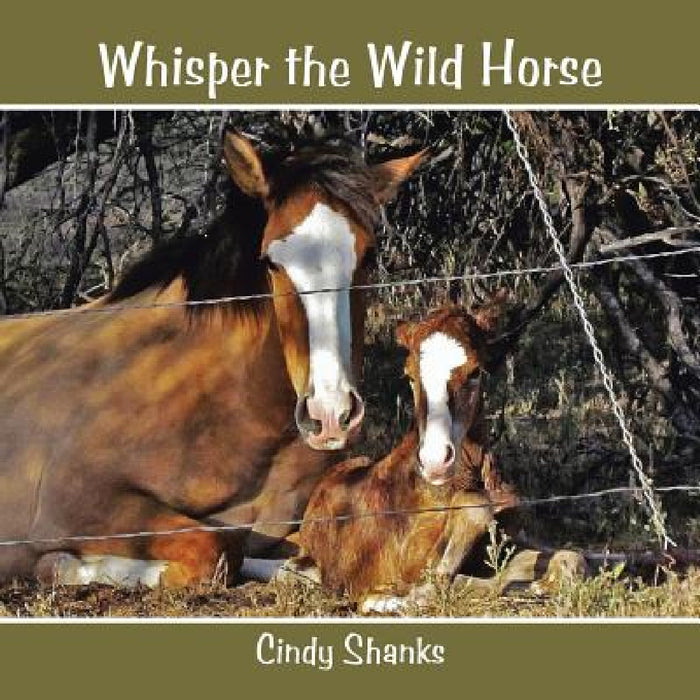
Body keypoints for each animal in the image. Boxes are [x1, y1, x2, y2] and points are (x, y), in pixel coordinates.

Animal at [0, 128, 426, 587]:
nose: (330, 415)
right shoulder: (77, 503)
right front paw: (64, 565)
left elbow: (304, 562)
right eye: (271, 262)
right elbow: (216, 551)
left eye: (369, 256)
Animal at [282, 301, 586, 613]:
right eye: (410, 376)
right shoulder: (406, 561)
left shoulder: (505, 544)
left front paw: (537, 585)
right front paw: (383, 598)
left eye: (475, 372)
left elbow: (572, 559)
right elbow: (445, 569)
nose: (435, 461)